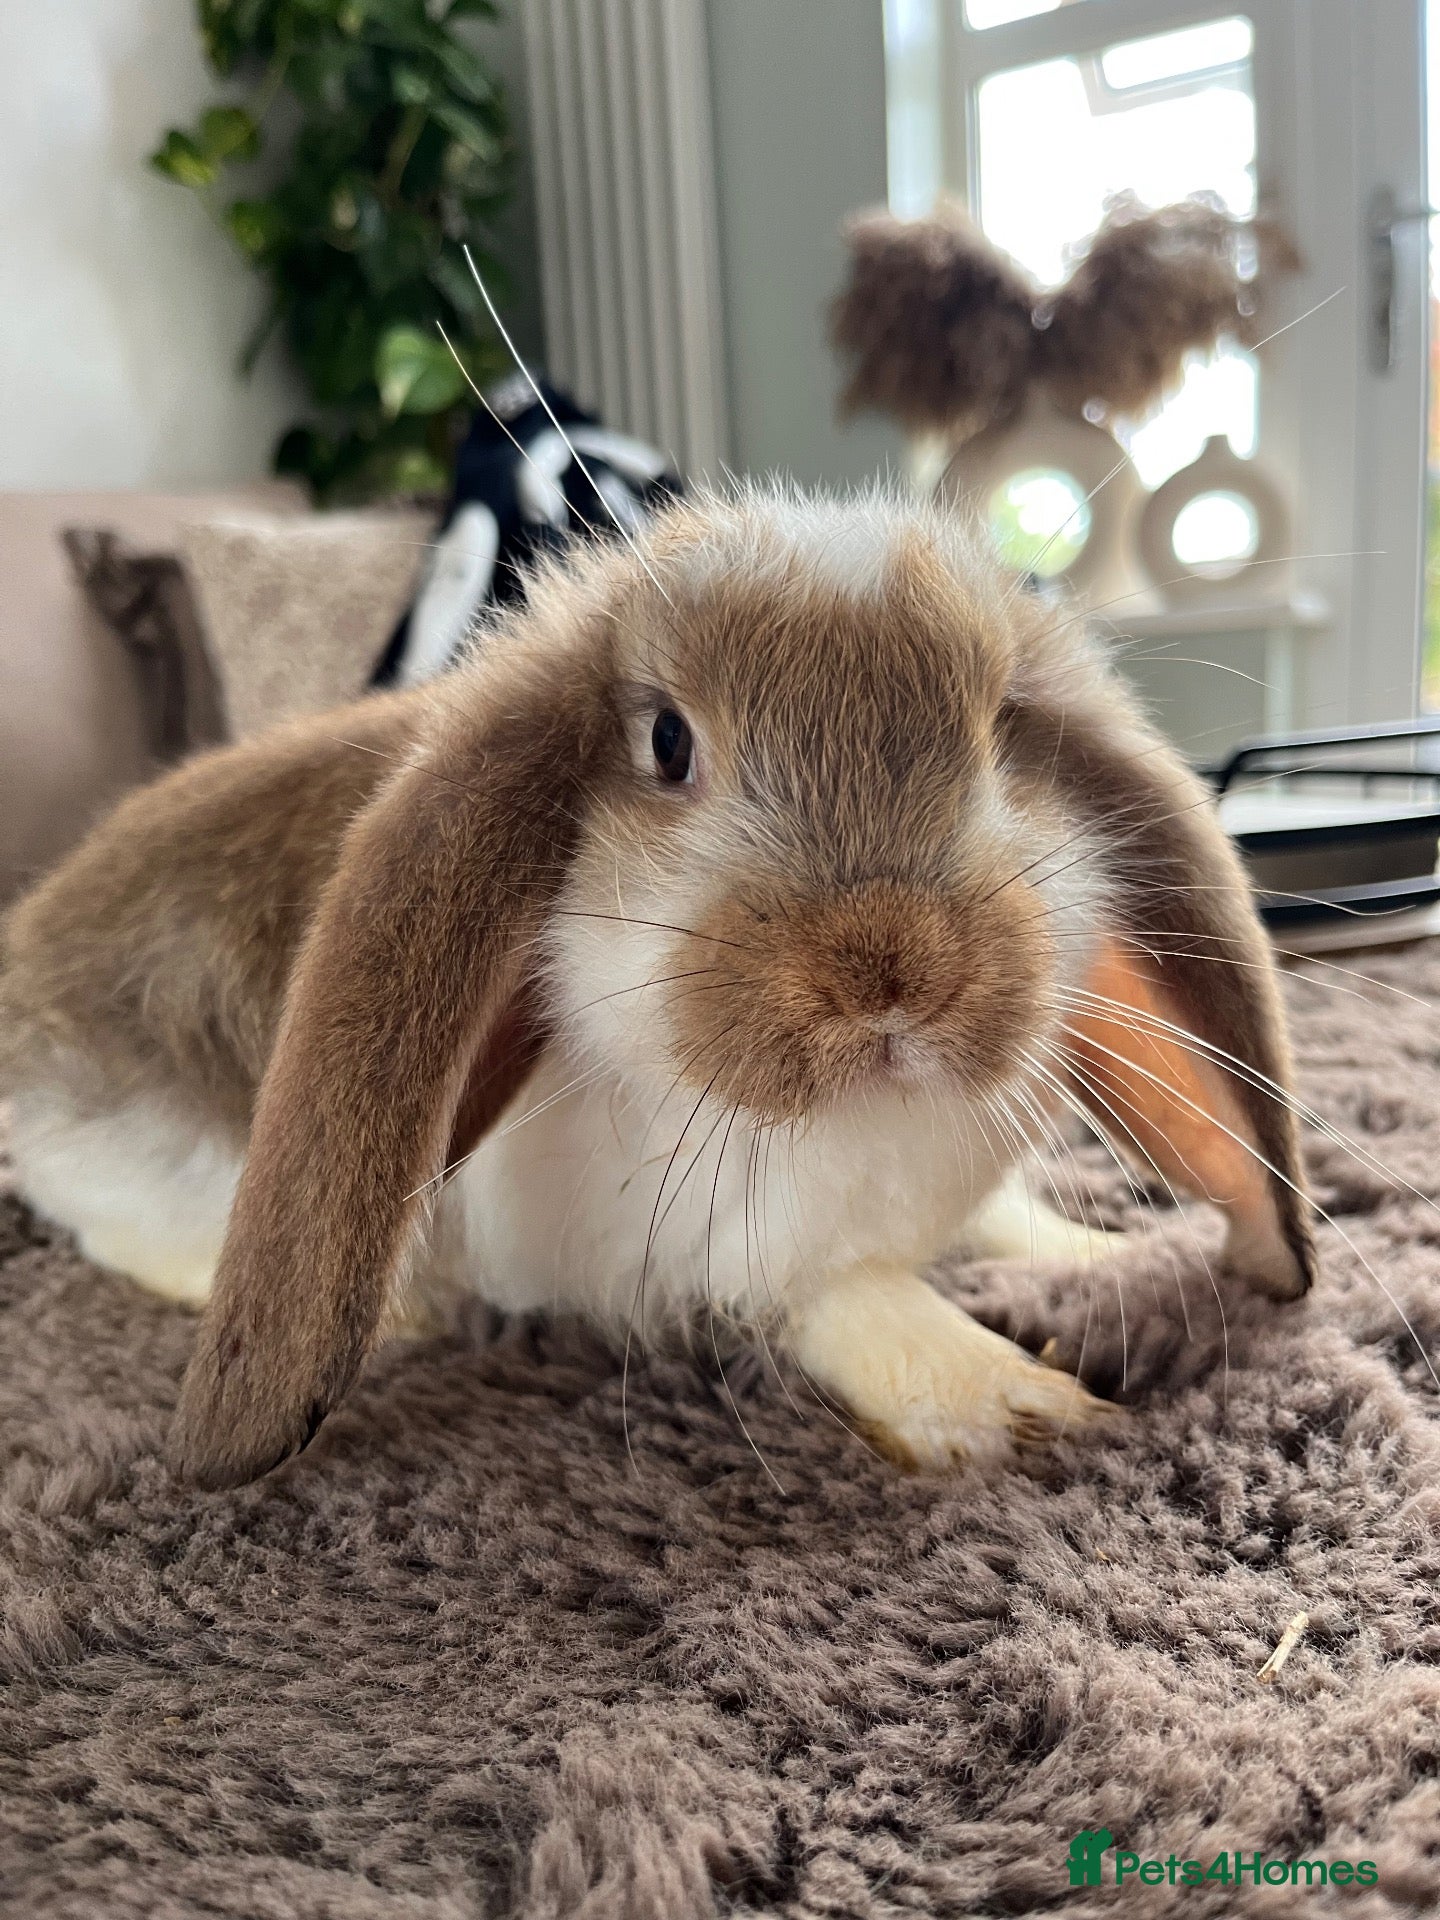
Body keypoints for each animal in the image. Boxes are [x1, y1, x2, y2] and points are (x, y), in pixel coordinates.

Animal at [0, 482, 1313, 1489]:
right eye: (668, 743)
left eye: (1004, 733)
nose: (890, 968)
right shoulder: (703, 1257)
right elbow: (842, 1299)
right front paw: (1021, 1403)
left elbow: (1002, 1223)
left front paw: (1083, 1251)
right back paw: (410, 1313)